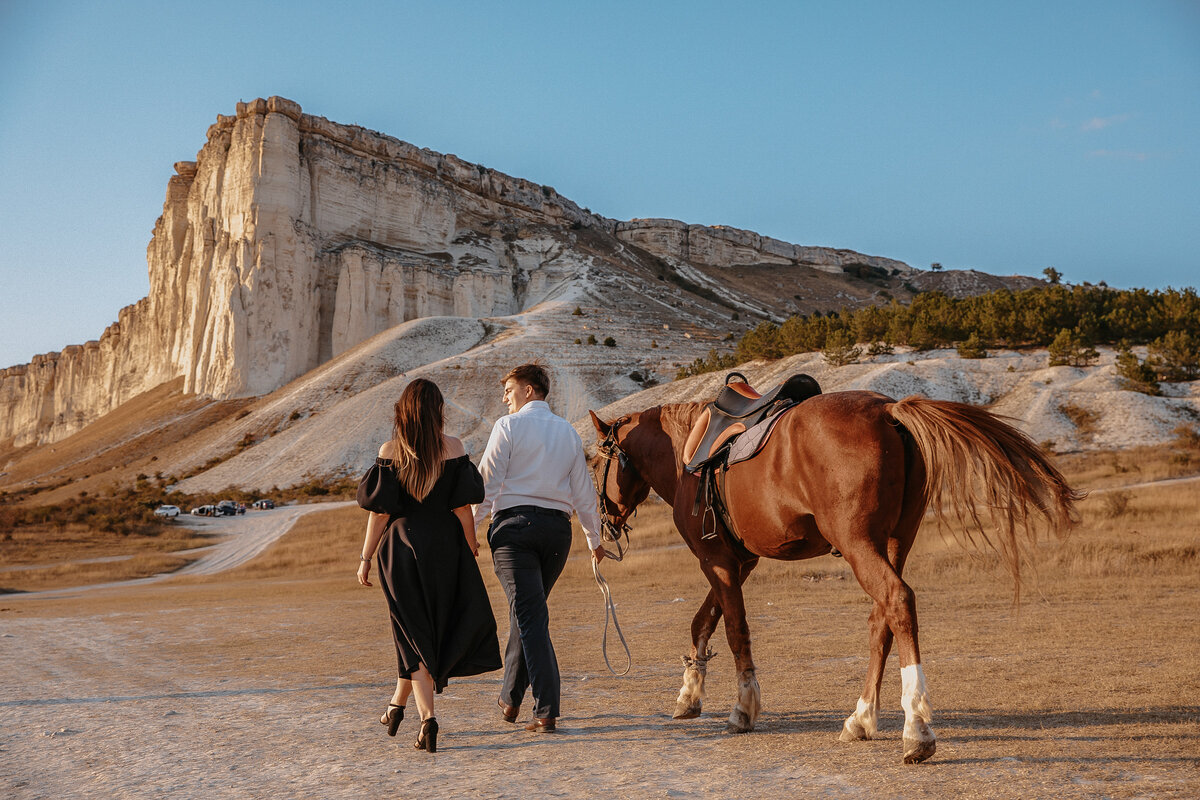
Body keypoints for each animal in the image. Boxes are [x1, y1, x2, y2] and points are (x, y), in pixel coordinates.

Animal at [585, 391, 1084, 767]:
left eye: (593, 463)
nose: (604, 518)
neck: (687, 453)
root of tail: (888, 410)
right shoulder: (739, 562)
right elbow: (703, 620)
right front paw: (689, 693)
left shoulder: (718, 560)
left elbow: (734, 628)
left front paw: (743, 707)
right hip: (894, 541)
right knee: (882, 618)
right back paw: (860, 719)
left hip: (860, 544)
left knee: (898, 602)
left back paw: (916, 729)